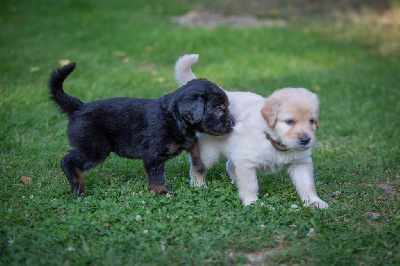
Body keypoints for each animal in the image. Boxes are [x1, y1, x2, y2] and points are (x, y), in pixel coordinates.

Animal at [48, 62, 234, 195]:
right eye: (219, 110)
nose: (232, 124)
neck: (175, 118)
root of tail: (79, 107)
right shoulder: (153, 155)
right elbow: (157, 176)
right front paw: (162, 192)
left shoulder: (188, 139)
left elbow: (196, 150)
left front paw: (200, 167)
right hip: (95, 148)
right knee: (67, 161)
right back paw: (78, 189)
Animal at [175, 54, 328, 208]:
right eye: (289, 121)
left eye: (312, 121)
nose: (305, 140)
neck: (272, 140)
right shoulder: (245, 161)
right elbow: (250, 185)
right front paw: (253, 203)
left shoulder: (301, 162)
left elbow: (307, 184)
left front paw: (314, 202)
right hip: (209, 151)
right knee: (197, 167)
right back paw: (199, 185)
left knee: (230, 165)